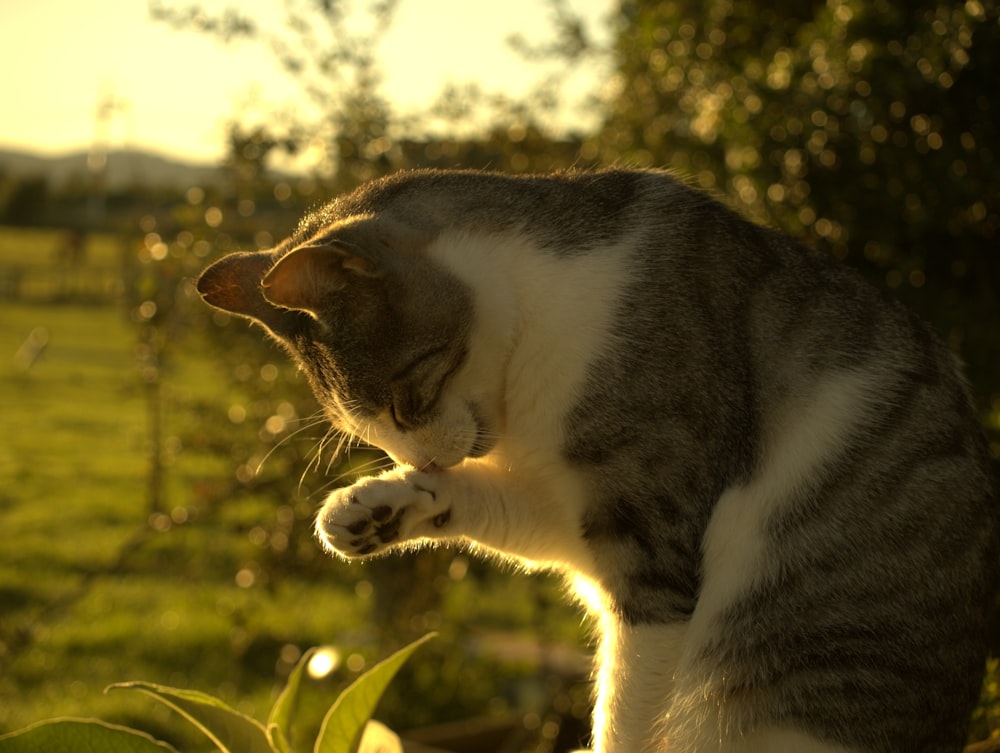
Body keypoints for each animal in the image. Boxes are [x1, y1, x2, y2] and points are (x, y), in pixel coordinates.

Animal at [199, 169, 996, 752]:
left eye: (406, 396)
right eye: (362, 430)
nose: (423, 458)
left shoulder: (651, 548)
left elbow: (626, 715)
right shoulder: (575, 518)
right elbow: (504, 510)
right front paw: (374, 509)